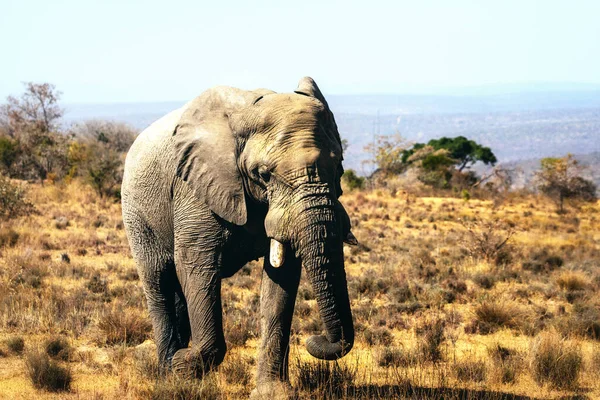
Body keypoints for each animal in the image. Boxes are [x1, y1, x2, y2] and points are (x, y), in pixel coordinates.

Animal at [122, 76, 356, 396]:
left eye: (339, 168)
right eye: (264, 174)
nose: (315, 340)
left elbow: (281, 283)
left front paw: (273, 393)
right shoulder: (194, 189)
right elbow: (196, 267)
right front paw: (184, 366)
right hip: (137, 211)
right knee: (159, 281)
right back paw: (167, 375)